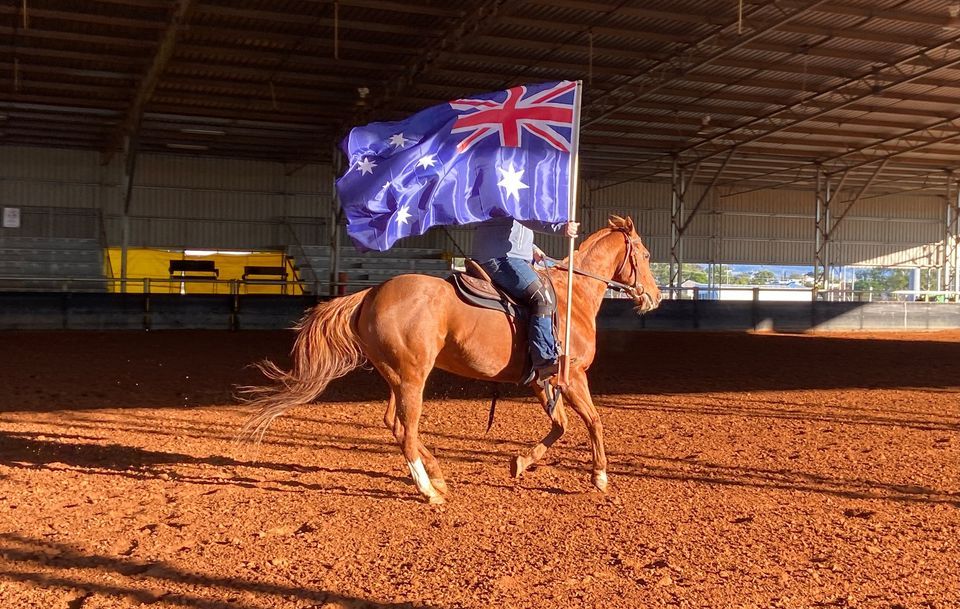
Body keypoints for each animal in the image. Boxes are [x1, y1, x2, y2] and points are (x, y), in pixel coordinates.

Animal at [239, 215, 660, 504]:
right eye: (645, 254)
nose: (654, 297)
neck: (573, 296)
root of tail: (371, 294)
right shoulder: (571, 375)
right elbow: (593, 421)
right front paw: (600, 477)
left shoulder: (544, 380)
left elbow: (561, 425)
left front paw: (520, 463)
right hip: (412, 376)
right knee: (407, 430)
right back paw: (429, 491)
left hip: (395, 375)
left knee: (395, 424)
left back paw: (438, 476)